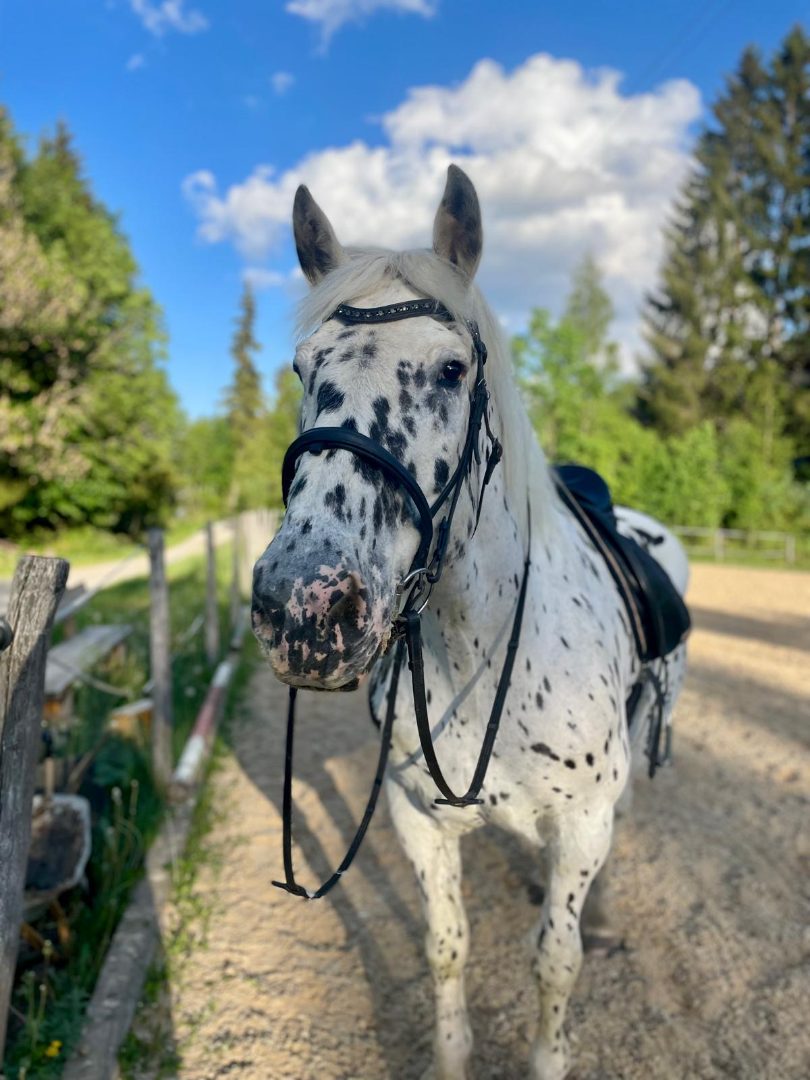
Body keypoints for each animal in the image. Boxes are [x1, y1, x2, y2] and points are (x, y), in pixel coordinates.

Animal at [251, 164, 689, 1080]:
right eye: (304, 368)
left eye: (452, 368)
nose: (305, 607)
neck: (481, 657)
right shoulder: (418, 820)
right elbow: (445, 945)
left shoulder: (581, 823)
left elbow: (555, 959)